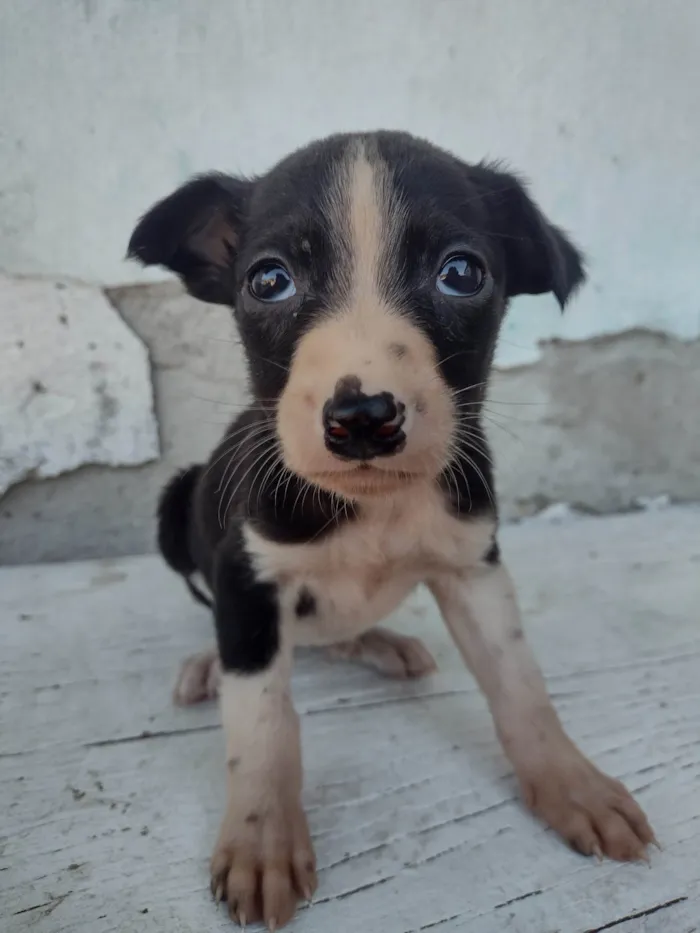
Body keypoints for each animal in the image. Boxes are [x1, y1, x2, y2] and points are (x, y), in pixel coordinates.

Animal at [127, 129, 656, 924]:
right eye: (268, 280)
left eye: (461, 273)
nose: (362, 418)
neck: (372, 506)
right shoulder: (247, 576)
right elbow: (262, 721)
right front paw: (261, 838)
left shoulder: (475, 567)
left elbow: (521, 687)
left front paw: (573, 785)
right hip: (176, 505)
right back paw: (208, 663)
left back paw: (380, 642)